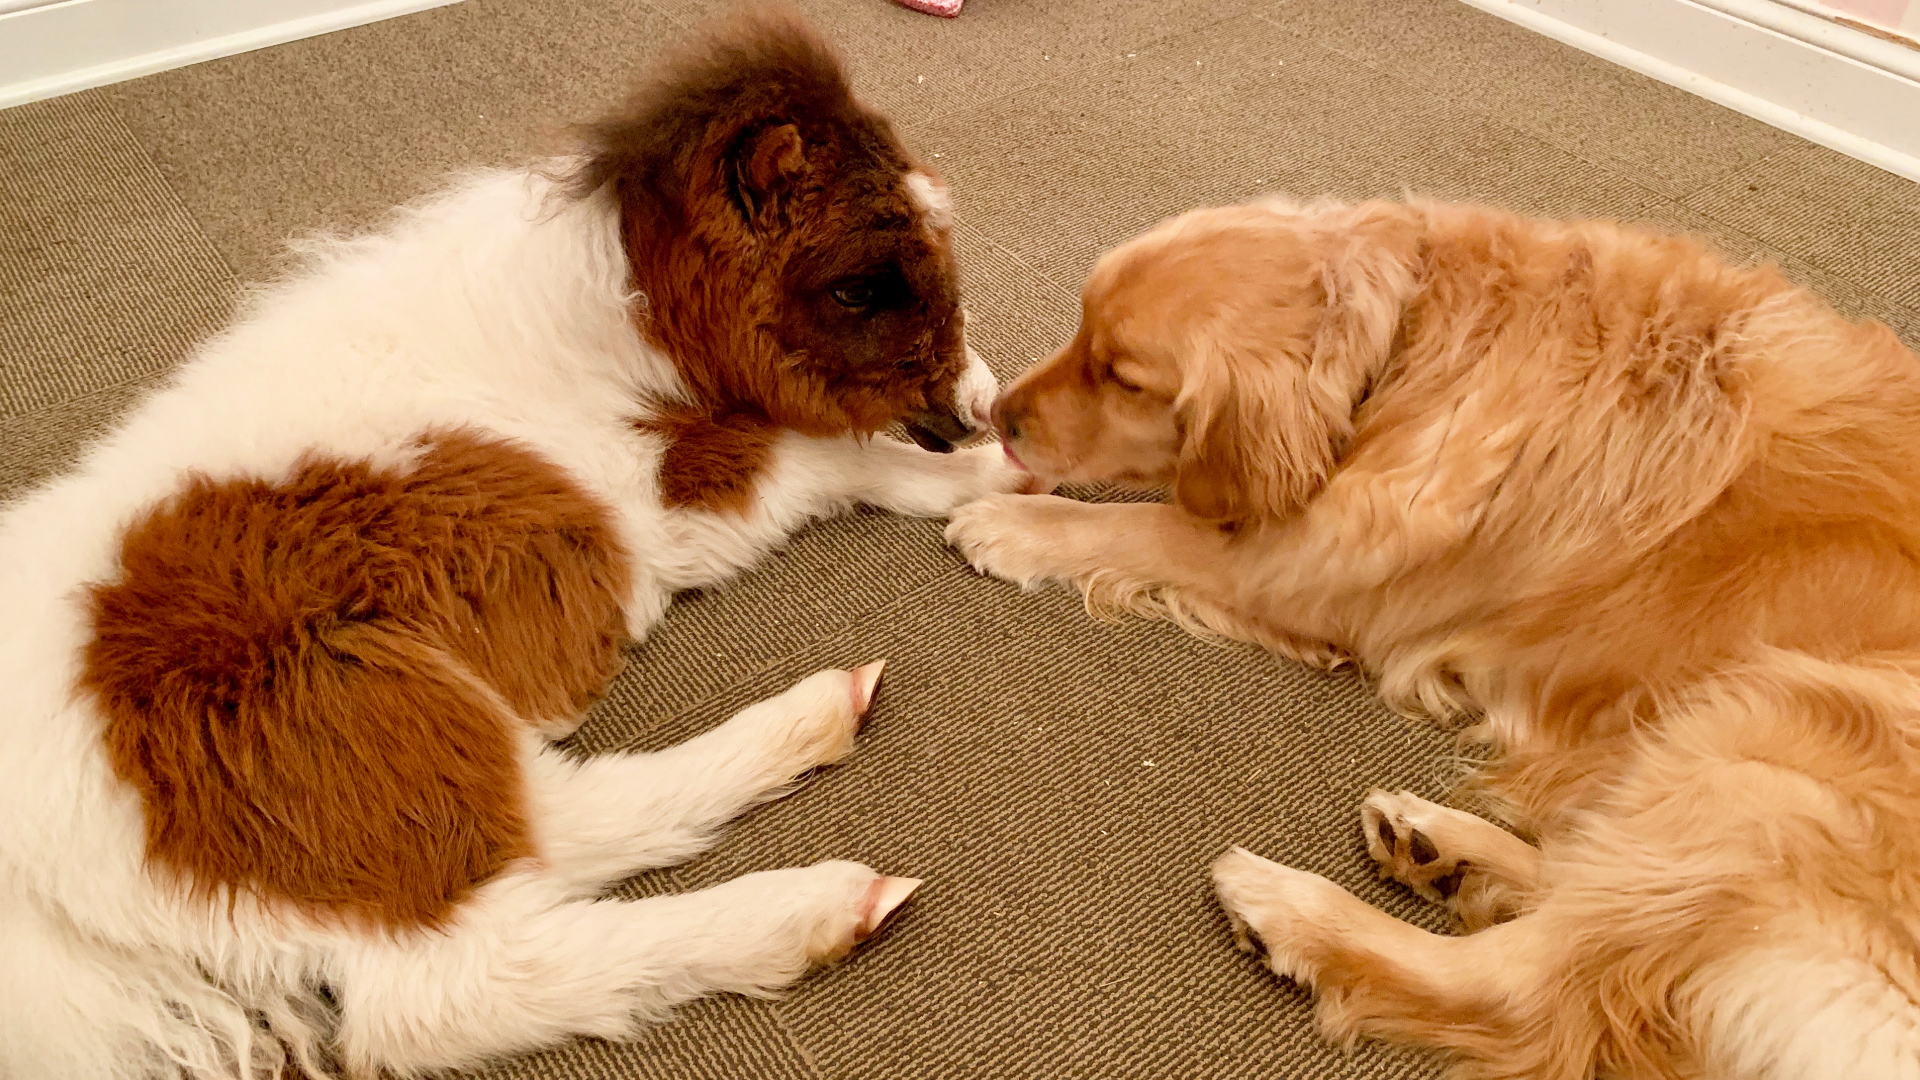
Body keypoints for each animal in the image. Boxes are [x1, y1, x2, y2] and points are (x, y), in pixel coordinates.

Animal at [940, 195, 1920, 1076]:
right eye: (1080, 331)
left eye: (1123, 375)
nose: (997, 417)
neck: (1409, 352)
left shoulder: (1311, 566)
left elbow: (1150, 527)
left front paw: (1012, 524)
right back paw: (1441, 846)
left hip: (1776, 727)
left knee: (1529, 988)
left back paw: (1294, 909)